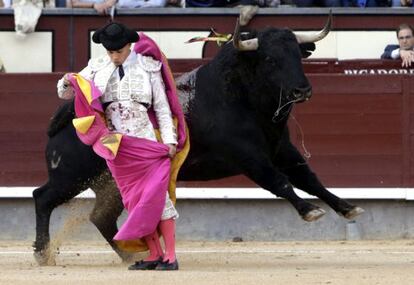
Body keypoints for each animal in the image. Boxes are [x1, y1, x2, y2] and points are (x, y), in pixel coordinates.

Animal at [32, 15, 362, 264]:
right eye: (269, 59)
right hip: (71, 176)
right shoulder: (250, 158)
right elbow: (280, 183)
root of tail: (65, 121)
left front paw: (347, 207)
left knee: (101, 217)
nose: (301, 90)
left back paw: (131, 257)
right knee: (42, 197)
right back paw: (42, 253)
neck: (243, 99)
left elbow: (310, 179)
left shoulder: (282, 150)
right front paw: (310, 211)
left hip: (108, 184)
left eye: (297, 56)